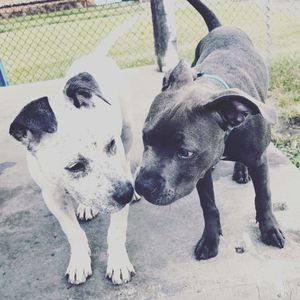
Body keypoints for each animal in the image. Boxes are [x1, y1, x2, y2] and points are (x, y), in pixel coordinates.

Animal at [8, 19, 137, 286]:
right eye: (75, 166)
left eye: (111, 144)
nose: (127, 193)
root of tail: (95, 57)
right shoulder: (52, 197)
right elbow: (73, 232)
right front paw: (79, 261)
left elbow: (116, 230)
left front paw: (118, 263)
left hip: (128, 131)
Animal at [135, 0, 284, 260]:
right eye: (145, 137)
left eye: (184, 152)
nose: (141, 186)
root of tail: (221, 27)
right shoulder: (199, 172)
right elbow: (209, 206)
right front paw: (210, 239)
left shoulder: (259, 161)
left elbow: (263, 197)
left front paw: (269, 228)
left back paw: (241, 171)